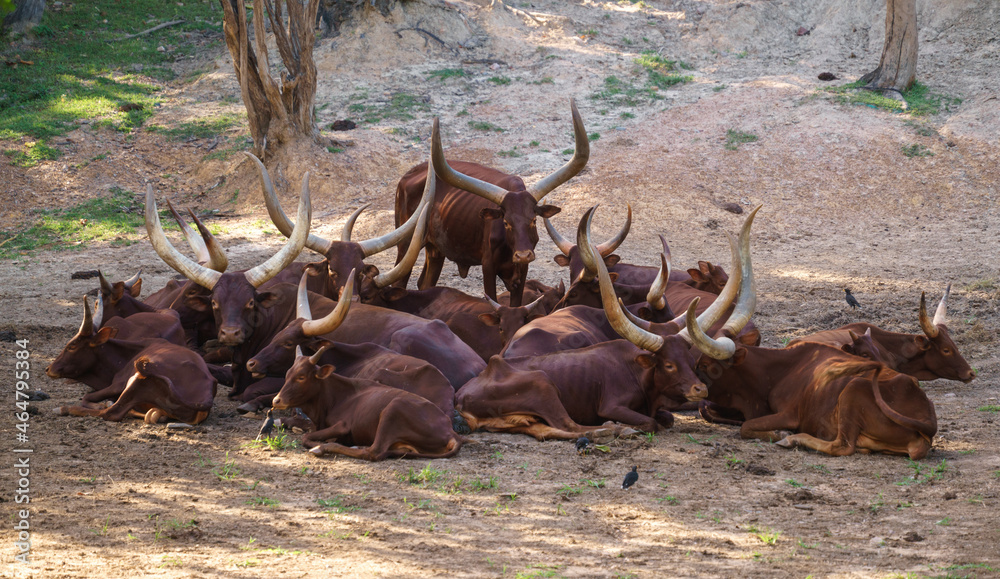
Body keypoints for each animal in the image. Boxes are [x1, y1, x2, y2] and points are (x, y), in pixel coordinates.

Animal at [47, 296, 217, 424]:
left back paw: (65, 409)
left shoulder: (117, 384)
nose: (49, 369)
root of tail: (207, 394)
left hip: (136, 380)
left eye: (72, 346)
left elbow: (87, 398)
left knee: (112, 412)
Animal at [270, 344, 464, 462]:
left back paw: (324, 448)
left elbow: (306, 438)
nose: (276, 400)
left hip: (393, 409)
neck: (335, 397)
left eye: (301, 377)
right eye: (287, 374)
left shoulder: (343, 425)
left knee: (374, 452)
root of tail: (450, 431)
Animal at [392, 98, 588, 308]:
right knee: (399, 281)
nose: (523, 255)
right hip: (406, 243)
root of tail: (407, 175)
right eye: (506, 222)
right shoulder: (488, 266)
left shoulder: (522, 270)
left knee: (425, 283)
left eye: (534, 220)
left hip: (435, 248)